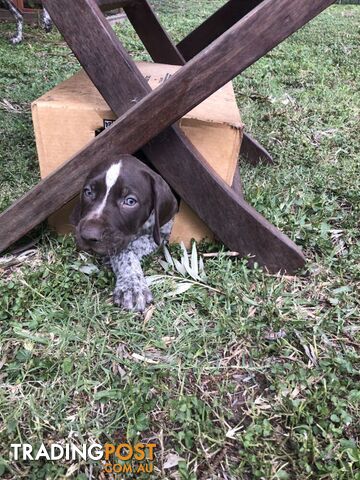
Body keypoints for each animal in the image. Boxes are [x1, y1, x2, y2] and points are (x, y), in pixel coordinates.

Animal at [70, 154, 177, 312]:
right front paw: (131, 284)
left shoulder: (164, 231)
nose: (88, 236)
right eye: (88, 192)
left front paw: (132, 286)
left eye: (130, 201)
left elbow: (131, 247)